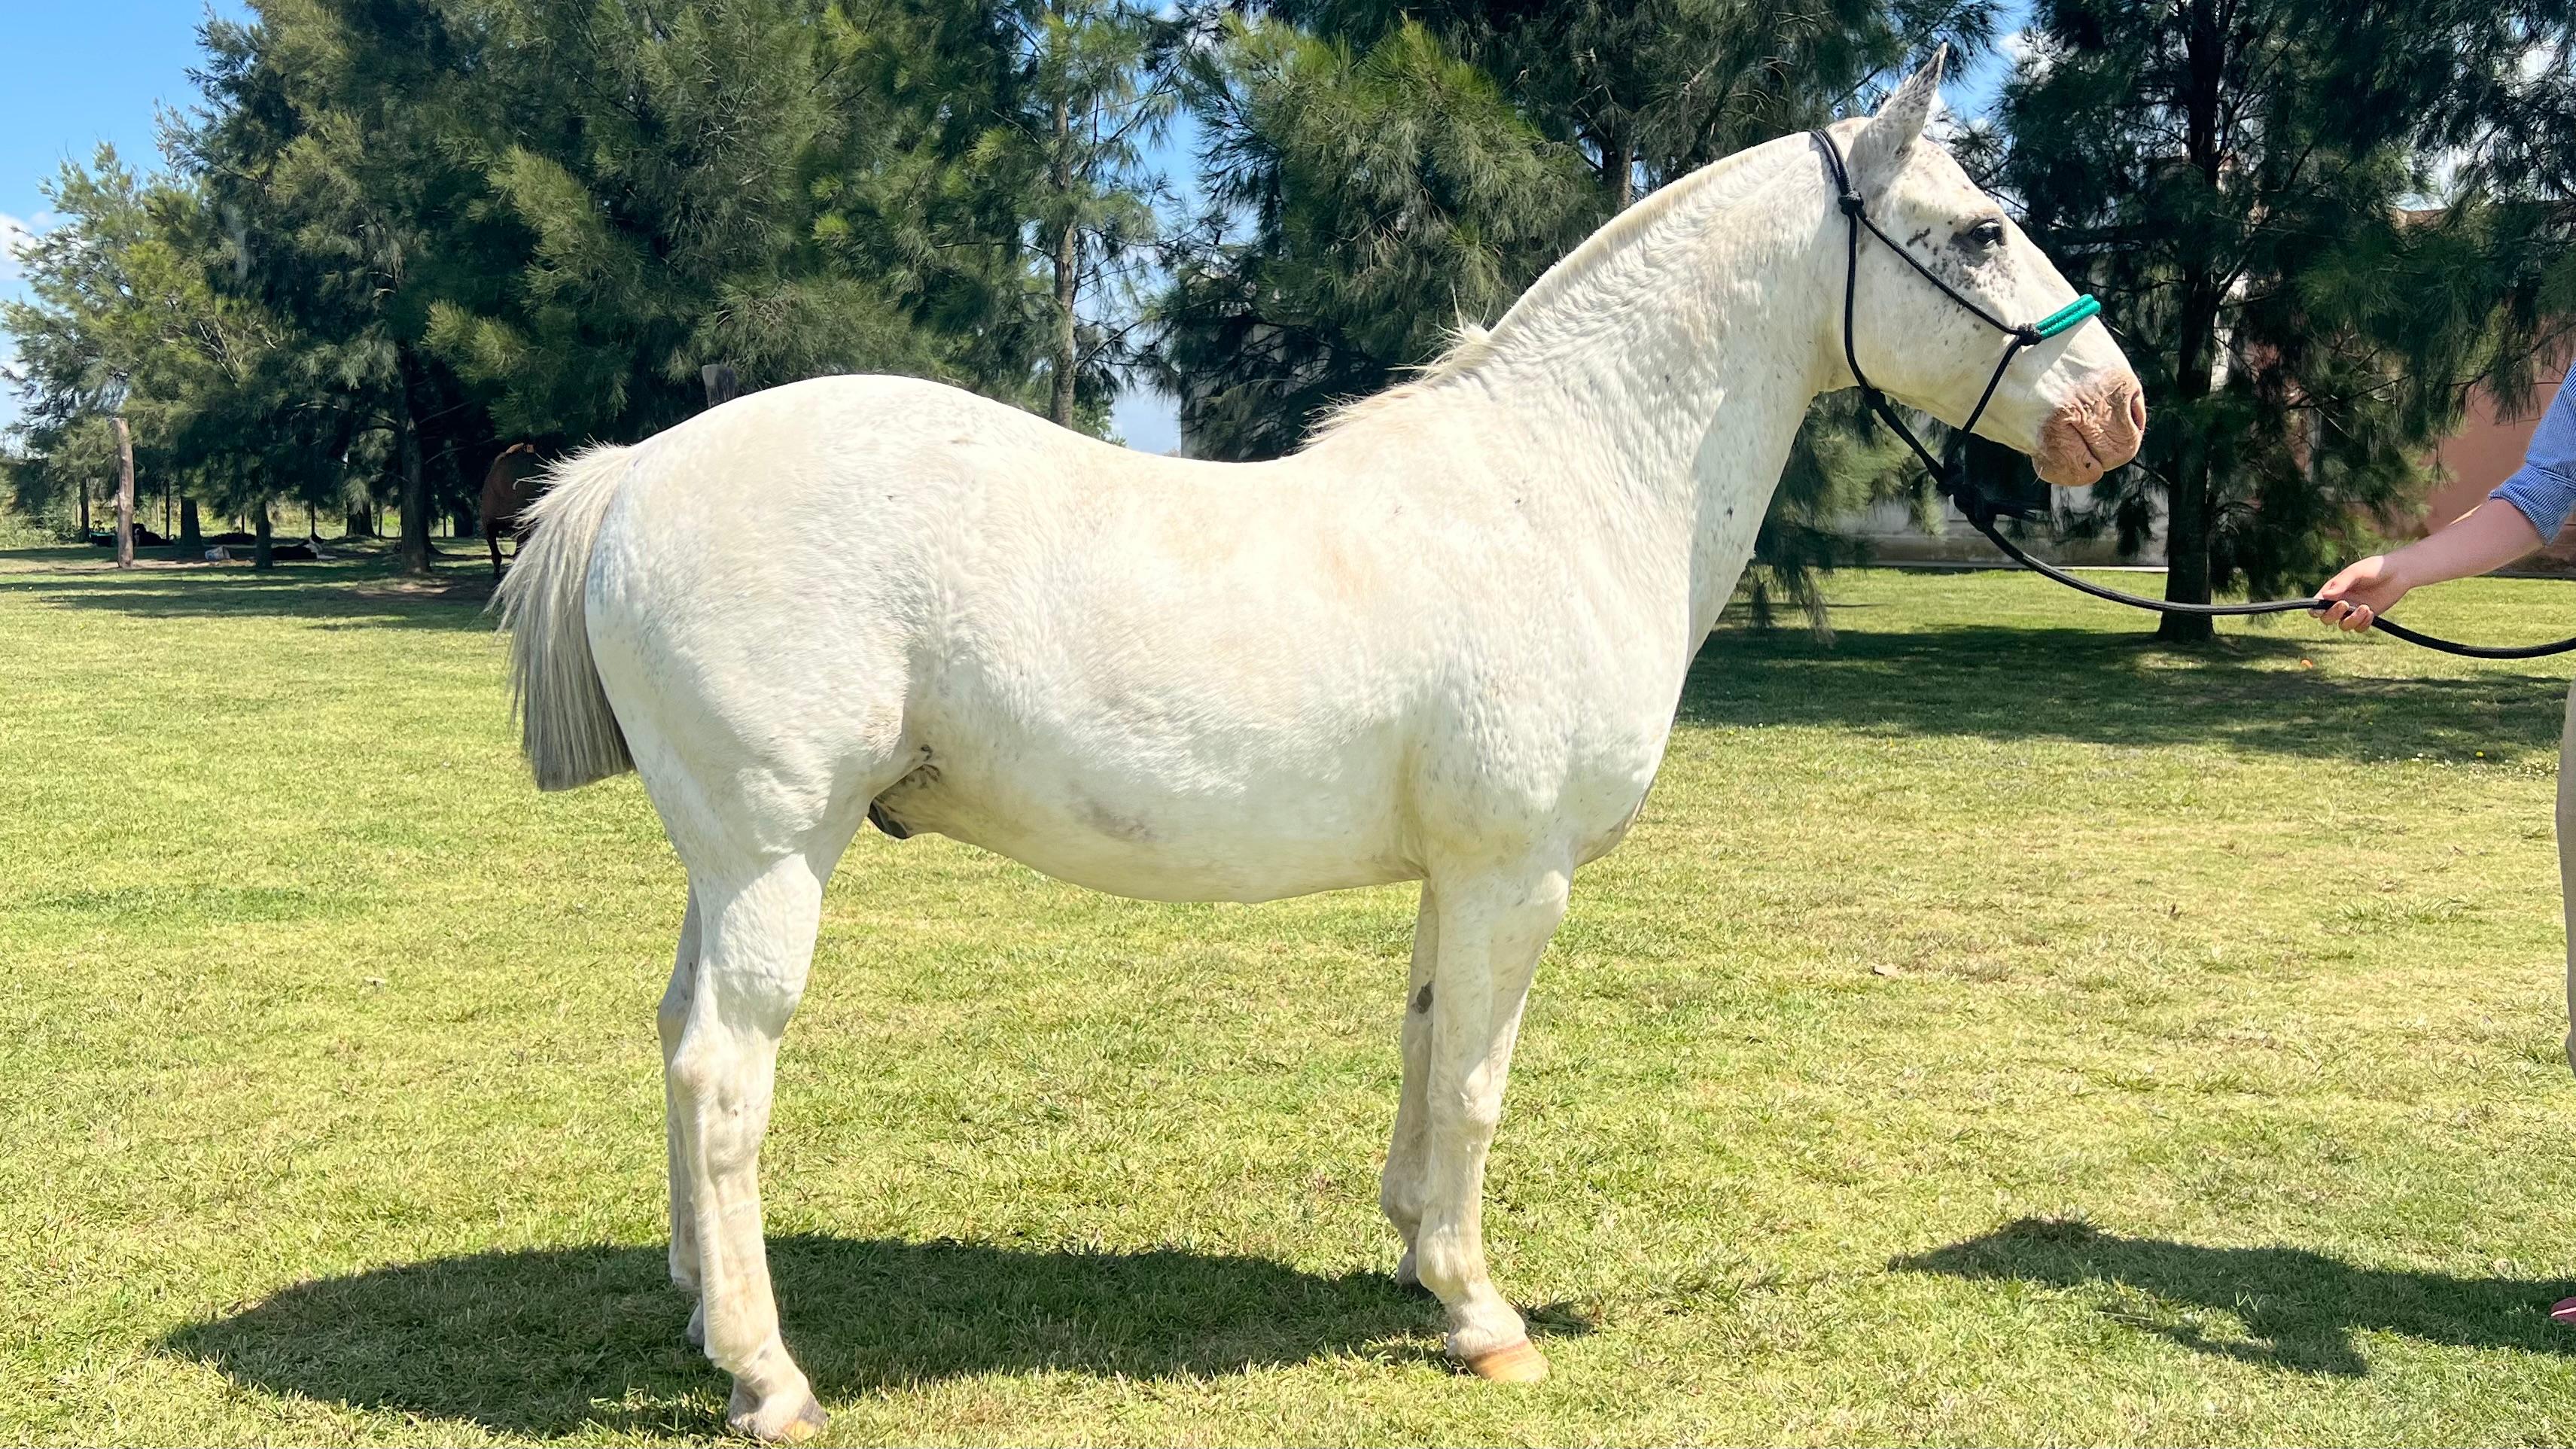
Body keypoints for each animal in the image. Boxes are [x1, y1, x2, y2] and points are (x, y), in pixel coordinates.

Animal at [496, 56, 2144, 1442]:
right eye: (1979, 231)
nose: (2117, 414)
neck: (1561, 487)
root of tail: (633, 473)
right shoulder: (1515, 874)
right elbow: (1478, 1077)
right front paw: (1485, 1315)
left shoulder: (1454, 876)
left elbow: (1423, 1048)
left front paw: (1418, 1257)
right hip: (776, 855)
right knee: (725, 1074)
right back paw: (770, 1376)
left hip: (721, 860)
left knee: (674, 1036)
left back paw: (698, 1307)